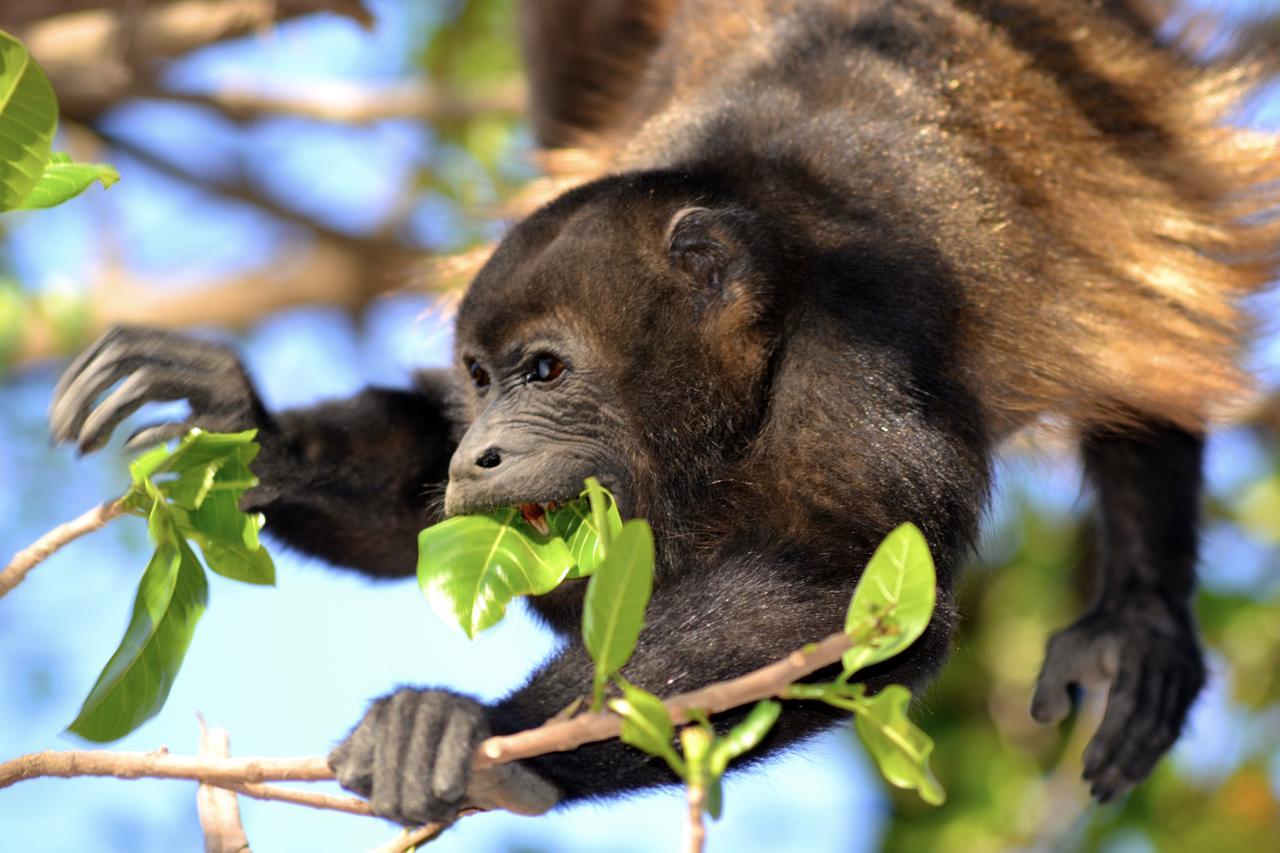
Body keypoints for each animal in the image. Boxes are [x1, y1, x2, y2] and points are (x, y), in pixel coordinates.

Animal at [49, 1, 1280, 824]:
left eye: (547, 370)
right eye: (479, 375)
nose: (482, 451)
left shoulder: (857, 350)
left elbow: (852, 592)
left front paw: (489, 737)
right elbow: (416, 515)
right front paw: (243, 426)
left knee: (1146, 353)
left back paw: (1137, 620)